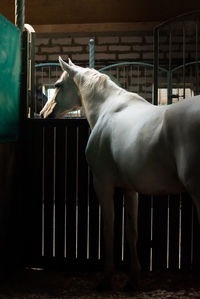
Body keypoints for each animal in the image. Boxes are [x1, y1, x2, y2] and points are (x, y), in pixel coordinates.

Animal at [39, 56, 200, 290]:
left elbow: (108, 229)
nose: (44, 113)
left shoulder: (103, 184)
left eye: (58, 85)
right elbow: (131, 231)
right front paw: (133, 280)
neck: (107, 108)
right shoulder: (129, 189)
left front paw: (106, 279)